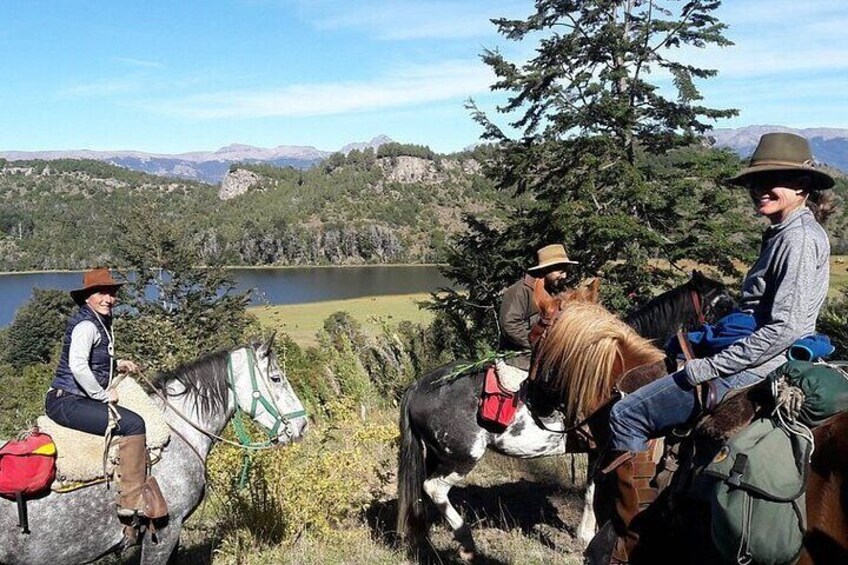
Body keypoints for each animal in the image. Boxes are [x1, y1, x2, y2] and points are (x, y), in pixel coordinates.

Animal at [394, 270, 732, 556]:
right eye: (722, 303)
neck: (614, 372)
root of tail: (418, 385)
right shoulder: (606, 446)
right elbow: (594, 490)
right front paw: (587, 536)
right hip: (463, 456)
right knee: (435, 488)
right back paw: (466, 541)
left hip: (437, 454)